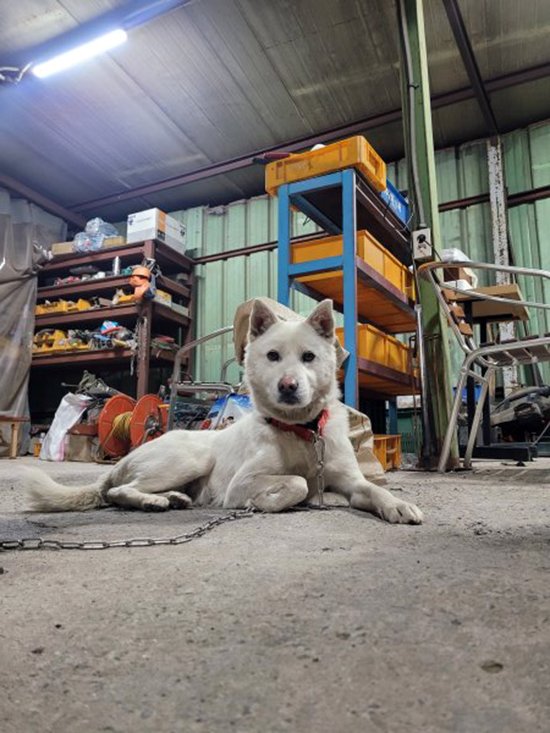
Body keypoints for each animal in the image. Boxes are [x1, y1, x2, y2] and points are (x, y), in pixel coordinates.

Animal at [23, 300, 422, 524]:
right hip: (189, 459)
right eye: (273, 356)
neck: (302, 431)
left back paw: (173, 498)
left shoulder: (351, 482)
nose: (288, 386)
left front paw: (398, 505)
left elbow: (373, 490)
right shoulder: (241, 483)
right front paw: (271, 502)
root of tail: (121, 462)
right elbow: (297, 482)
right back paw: (153, 500)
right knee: (118, 492)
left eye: (308, 356)